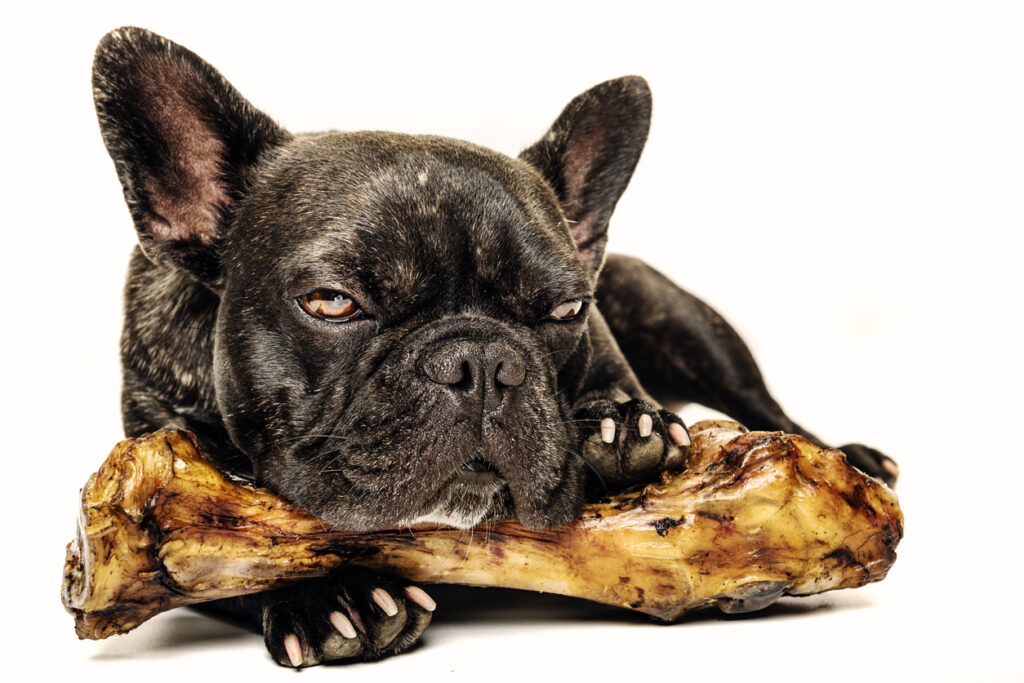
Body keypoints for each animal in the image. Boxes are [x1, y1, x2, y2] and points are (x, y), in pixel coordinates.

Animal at [96, 26, 897, 667]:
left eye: (568, 309)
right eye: (332, 302)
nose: (481, 361)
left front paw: (622, 425)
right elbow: (206, 561)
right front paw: (330, 597)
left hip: (683, 320)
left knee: (770, 408)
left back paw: (851, 456)